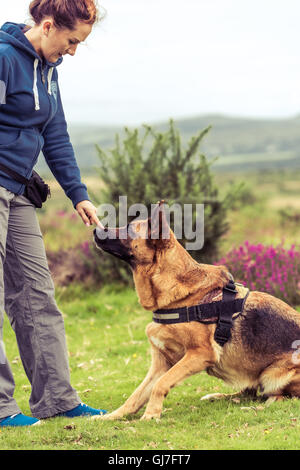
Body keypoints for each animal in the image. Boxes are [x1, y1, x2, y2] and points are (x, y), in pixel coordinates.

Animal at [93, 200, 300, 420]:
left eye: (129, 229)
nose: (95, 229)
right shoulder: (162, 363)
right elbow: (137, 394)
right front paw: (112, 416)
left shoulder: (200, 353)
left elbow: (160, 384)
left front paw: (151, 415)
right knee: (250, 392)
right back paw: (219, 397)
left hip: (272, 374)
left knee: (279, 399)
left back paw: (254, 408)